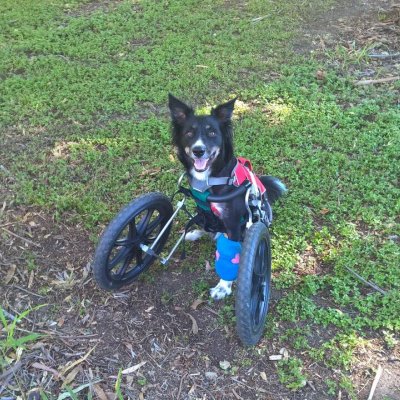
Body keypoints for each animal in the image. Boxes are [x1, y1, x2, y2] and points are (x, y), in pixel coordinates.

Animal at [167, 94, 286, 300]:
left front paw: (223, 287)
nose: (198, 150)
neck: (210, 179)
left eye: (212, 133)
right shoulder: (203, 210)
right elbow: (203, 222)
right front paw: (198, 231)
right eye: (189, 133)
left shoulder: (232, 222)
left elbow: (230, 256)